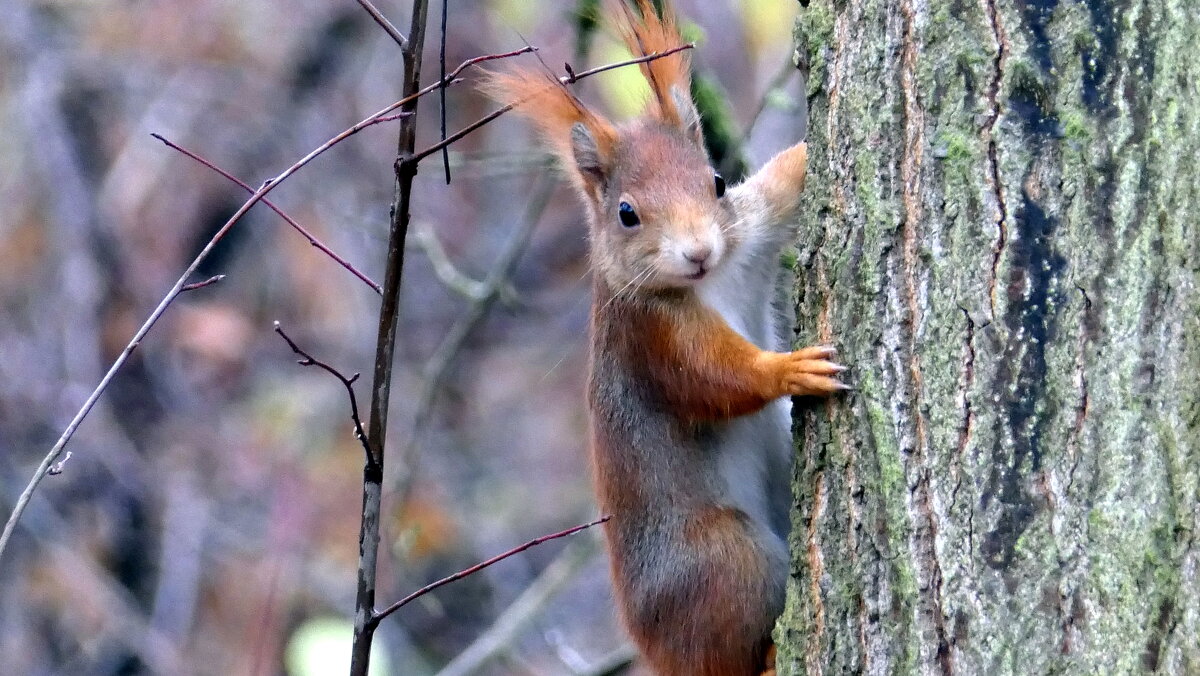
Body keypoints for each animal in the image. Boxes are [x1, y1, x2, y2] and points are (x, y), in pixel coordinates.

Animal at [480, 2, 844, 672]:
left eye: (718, 182)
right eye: (627, 213)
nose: (698, 252)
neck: (713, 280)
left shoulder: (751, 232)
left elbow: (785, 179)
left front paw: (808, 149)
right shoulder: (651, 336)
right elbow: (713, 377)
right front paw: (789, 371)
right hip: (726, 559)